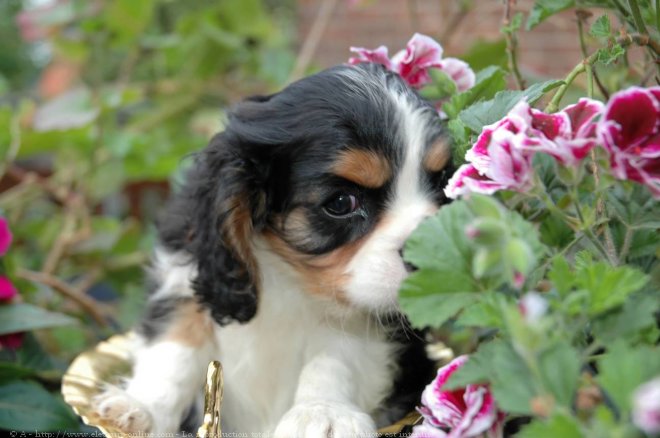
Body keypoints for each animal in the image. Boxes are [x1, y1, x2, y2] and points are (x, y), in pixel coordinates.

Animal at [93, 63, 454, 436]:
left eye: (443, 185)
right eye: (342, 203)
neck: (291, 274)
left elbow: (335, 356)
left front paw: (324, 412)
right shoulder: (190, 278)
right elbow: (174, 349)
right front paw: (141, 408)